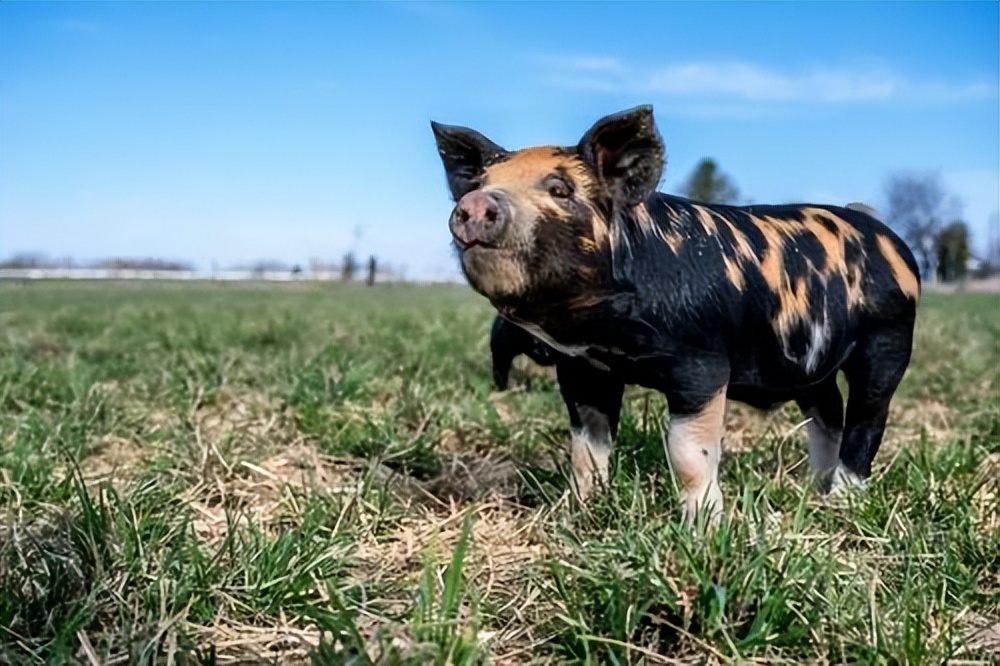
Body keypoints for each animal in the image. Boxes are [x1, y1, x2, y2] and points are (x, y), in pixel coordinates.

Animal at [430, 106, 920, 520]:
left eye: (560, 189)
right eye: (477, 185)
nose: (477, 204)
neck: (608, 332)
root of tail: (889, 239)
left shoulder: (701, 363)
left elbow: (688, 454)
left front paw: (704, 529)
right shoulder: (583, 368)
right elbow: (587, 449)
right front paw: (582, 513)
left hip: (888, 340)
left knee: (867, 420)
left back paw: (840, 503)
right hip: (812, 366)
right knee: (828, 413)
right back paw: (810, 489)